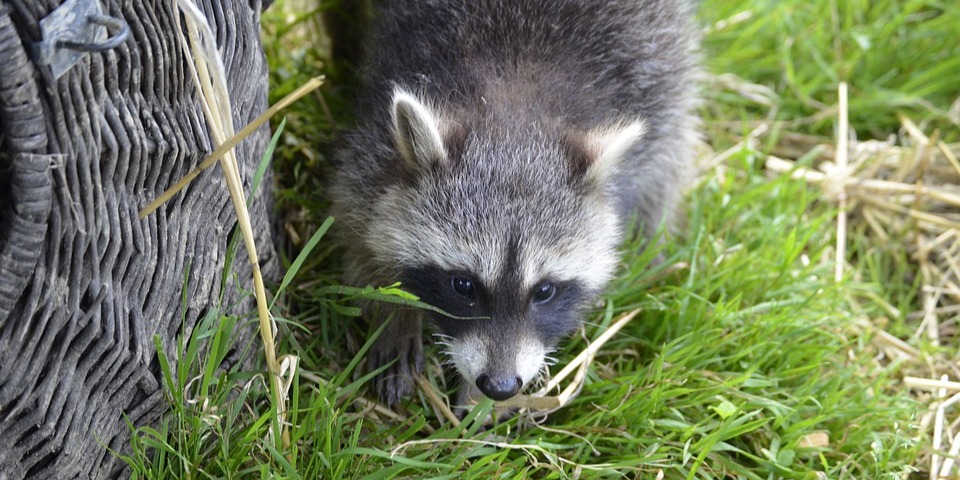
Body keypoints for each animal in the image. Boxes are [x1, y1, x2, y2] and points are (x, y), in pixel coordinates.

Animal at [332, 0, 696, 404]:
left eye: (545, 291)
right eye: (464, 285)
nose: (500, 386)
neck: (516, 101)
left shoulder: (653, 85)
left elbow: (662, 175)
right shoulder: (376, 138)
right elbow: (356, 218)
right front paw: (391, 305)